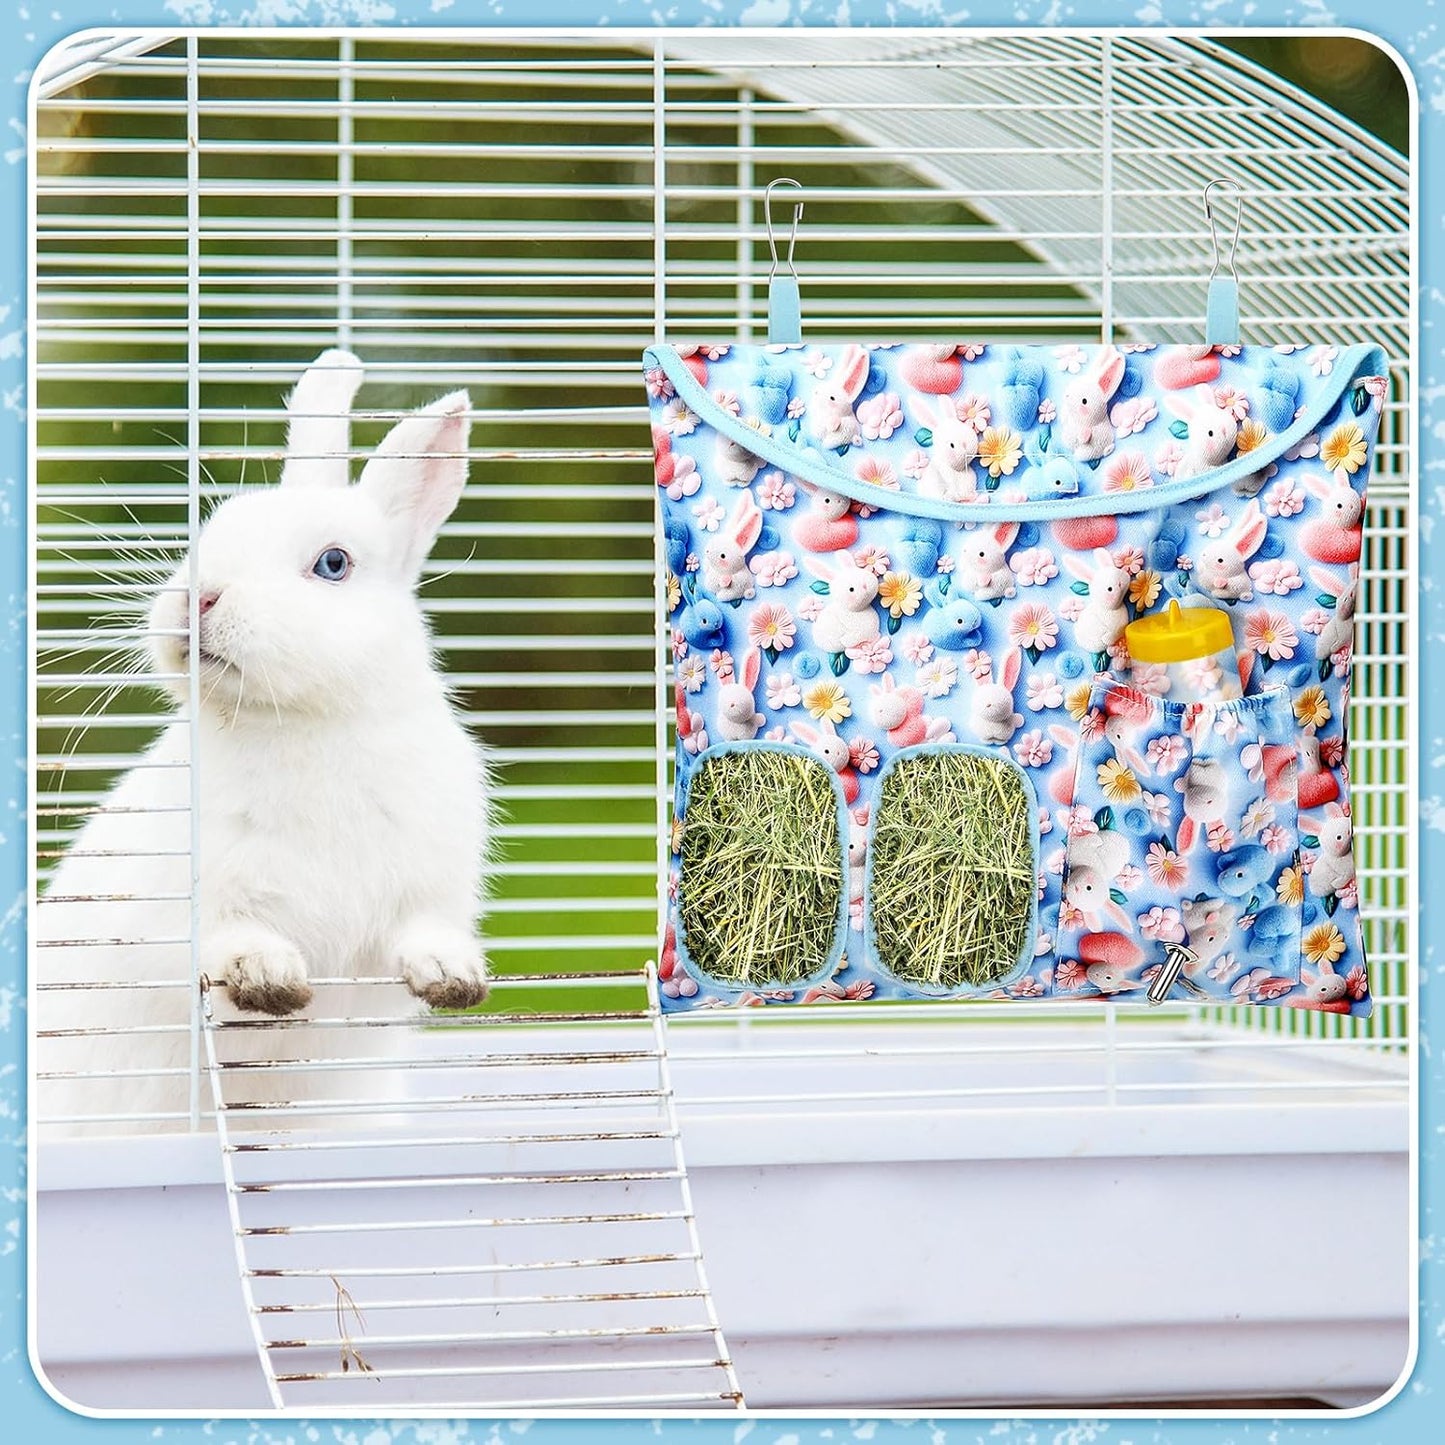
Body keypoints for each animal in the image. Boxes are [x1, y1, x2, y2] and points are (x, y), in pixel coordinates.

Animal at [33, 349, 492, 1137]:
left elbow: (423, 935)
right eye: (211, 530)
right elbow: (228, 940)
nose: (197, 598)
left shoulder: (427, 885)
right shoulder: (197, 897)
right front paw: (269, 981)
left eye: (333, 563)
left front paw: (452, 980)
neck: (299, 719)